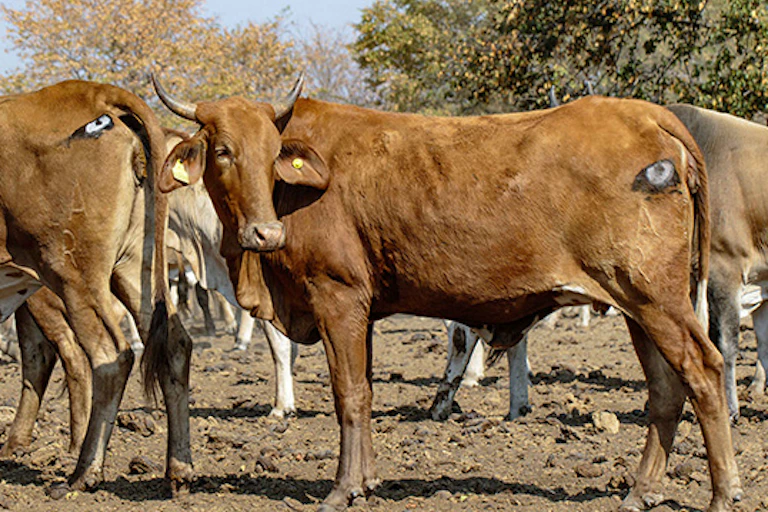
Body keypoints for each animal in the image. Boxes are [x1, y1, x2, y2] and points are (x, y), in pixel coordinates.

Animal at [0, 80, 192, 497]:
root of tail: (93, 91)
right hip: (135, 265)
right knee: (174, 344)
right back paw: (178, 470)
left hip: (70, 273)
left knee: (106, 355)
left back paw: (83, 470)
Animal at [148, 75, 741, 512]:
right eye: (223, 151)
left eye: (274, 153)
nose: (265, 233)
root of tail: (644, 113)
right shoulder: (361, 308)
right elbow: (364, 391)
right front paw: (367, 480)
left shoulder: (338, 296)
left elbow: (348, 394)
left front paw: (342, 489)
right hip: (636, 305)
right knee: (665, 390)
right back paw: (640, 491)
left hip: (655, 297)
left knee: (703, 370)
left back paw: (722, 493)